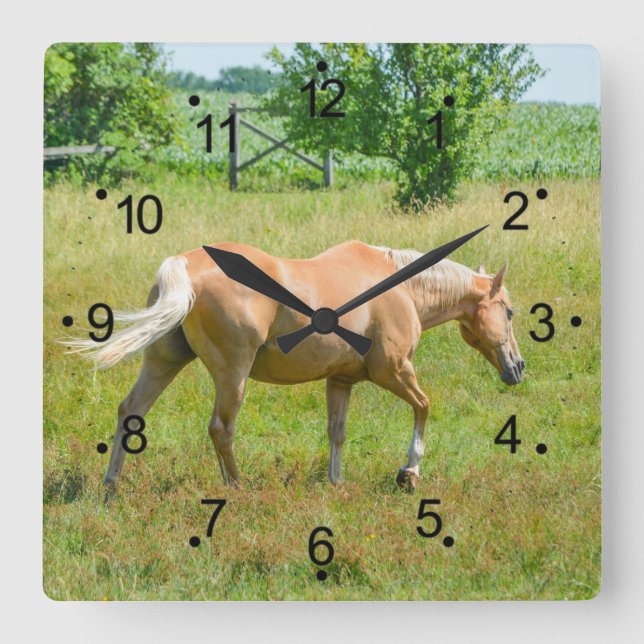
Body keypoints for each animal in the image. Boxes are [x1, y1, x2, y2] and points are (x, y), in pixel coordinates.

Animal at [70, 240, 525, 492]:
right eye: (510, 311)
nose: (518, 367)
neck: (402, 287)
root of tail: (185, 262)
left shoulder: (340, 381)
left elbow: (337, 432)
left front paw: (336, 483)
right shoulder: (394, 371)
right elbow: (424, 407)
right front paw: (409, 472)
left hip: (164, 361)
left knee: (131, 411)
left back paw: (111, 485)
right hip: (232, 375)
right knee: (221, 429)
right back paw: (237, 486)